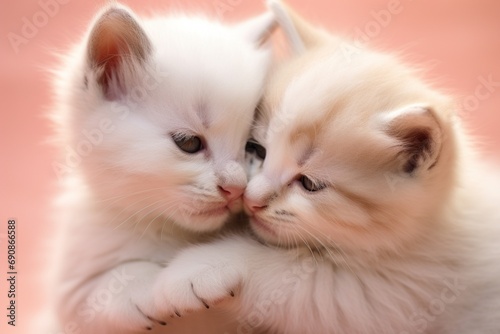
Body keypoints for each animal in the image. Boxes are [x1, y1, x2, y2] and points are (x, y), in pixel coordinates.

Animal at [47, 3, 276, 334]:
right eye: (189, 143)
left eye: (250, 146)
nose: (235, 188)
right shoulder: (73, 290)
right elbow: (104, 287)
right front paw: (148, 290)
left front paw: (197, 272)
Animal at [161, 1, 500, 334]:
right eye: (257, 149)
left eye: (310, 184)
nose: (251, 199)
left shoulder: (399, 292)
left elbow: (300, 281)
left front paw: (191, 273)